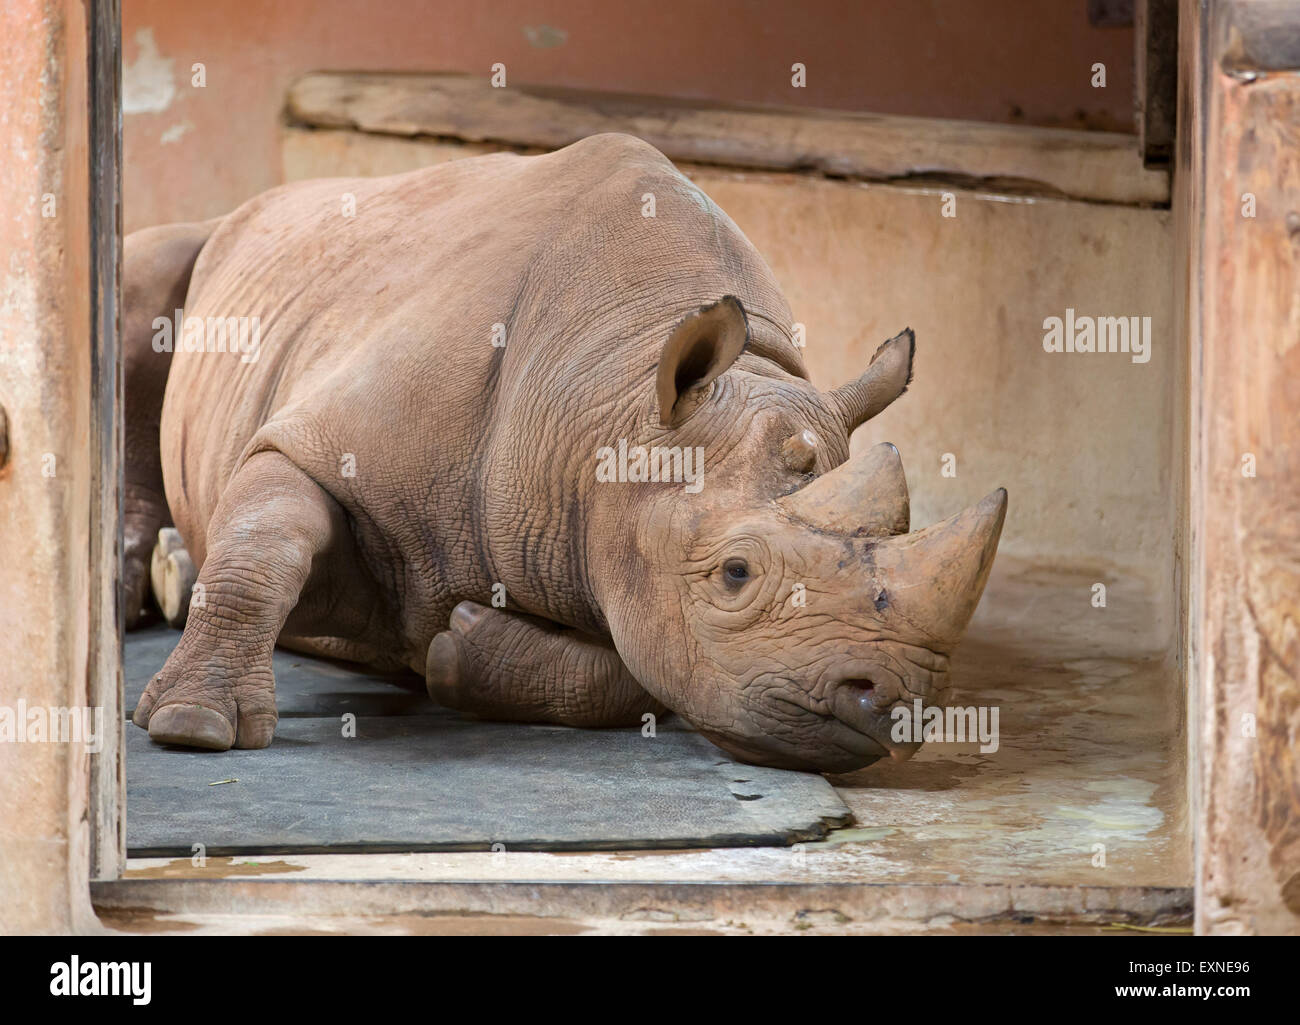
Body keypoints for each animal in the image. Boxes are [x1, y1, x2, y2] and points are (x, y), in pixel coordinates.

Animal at [123, 133, 1006, 773]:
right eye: (735, 574)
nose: (896, 702)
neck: (613, 397)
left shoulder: (626, 549)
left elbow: (642, 670)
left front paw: (457, 646)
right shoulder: (316, 438)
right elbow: (264, 541)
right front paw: (192, 725)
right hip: (220, 247)